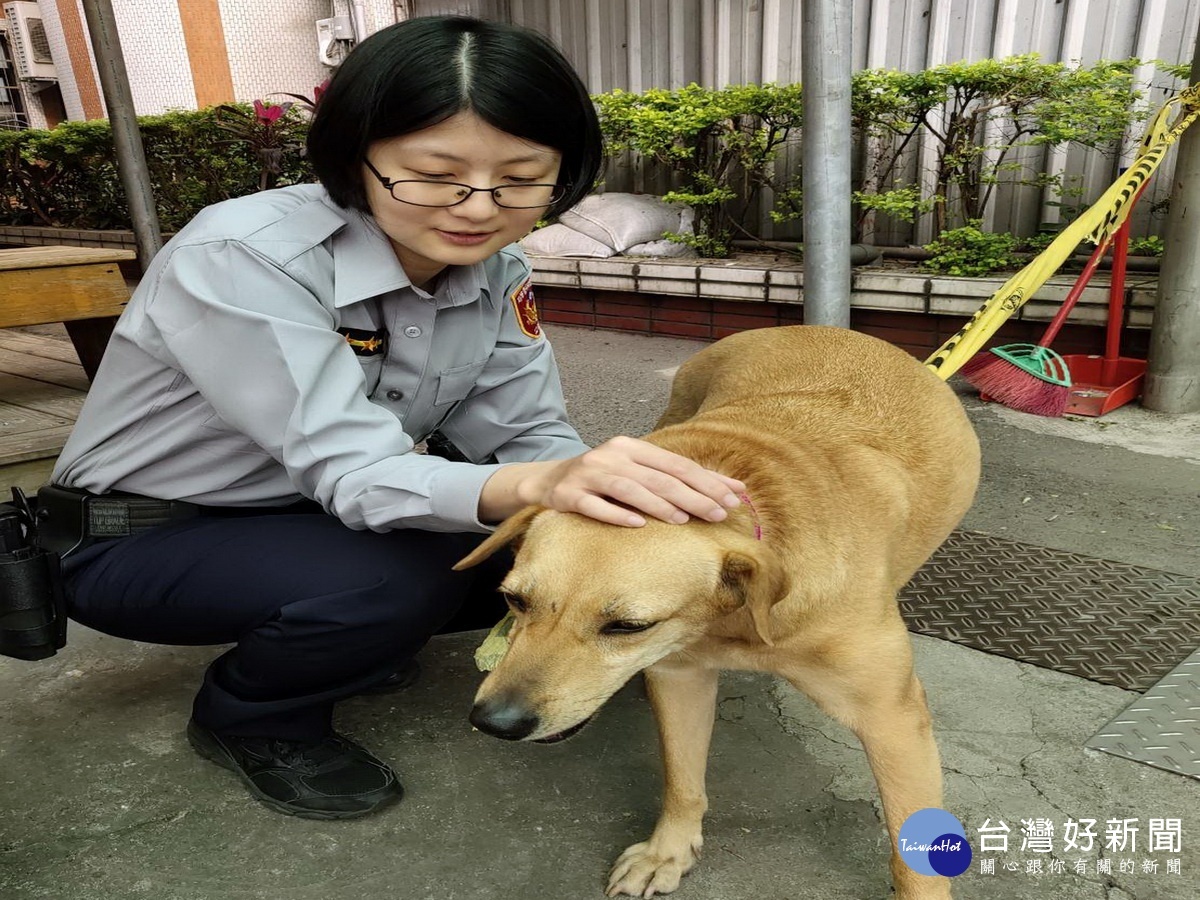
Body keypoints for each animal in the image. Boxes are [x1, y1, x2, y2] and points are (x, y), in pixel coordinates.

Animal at [453, 328, 979, 897]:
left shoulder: (892, 720)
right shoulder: (680, 677)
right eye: (515, 600)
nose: (495, 722)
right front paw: (667, 851)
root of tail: (834, 331)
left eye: (627, 627)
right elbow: (682, 782)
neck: (737, 617)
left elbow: (914, 855)